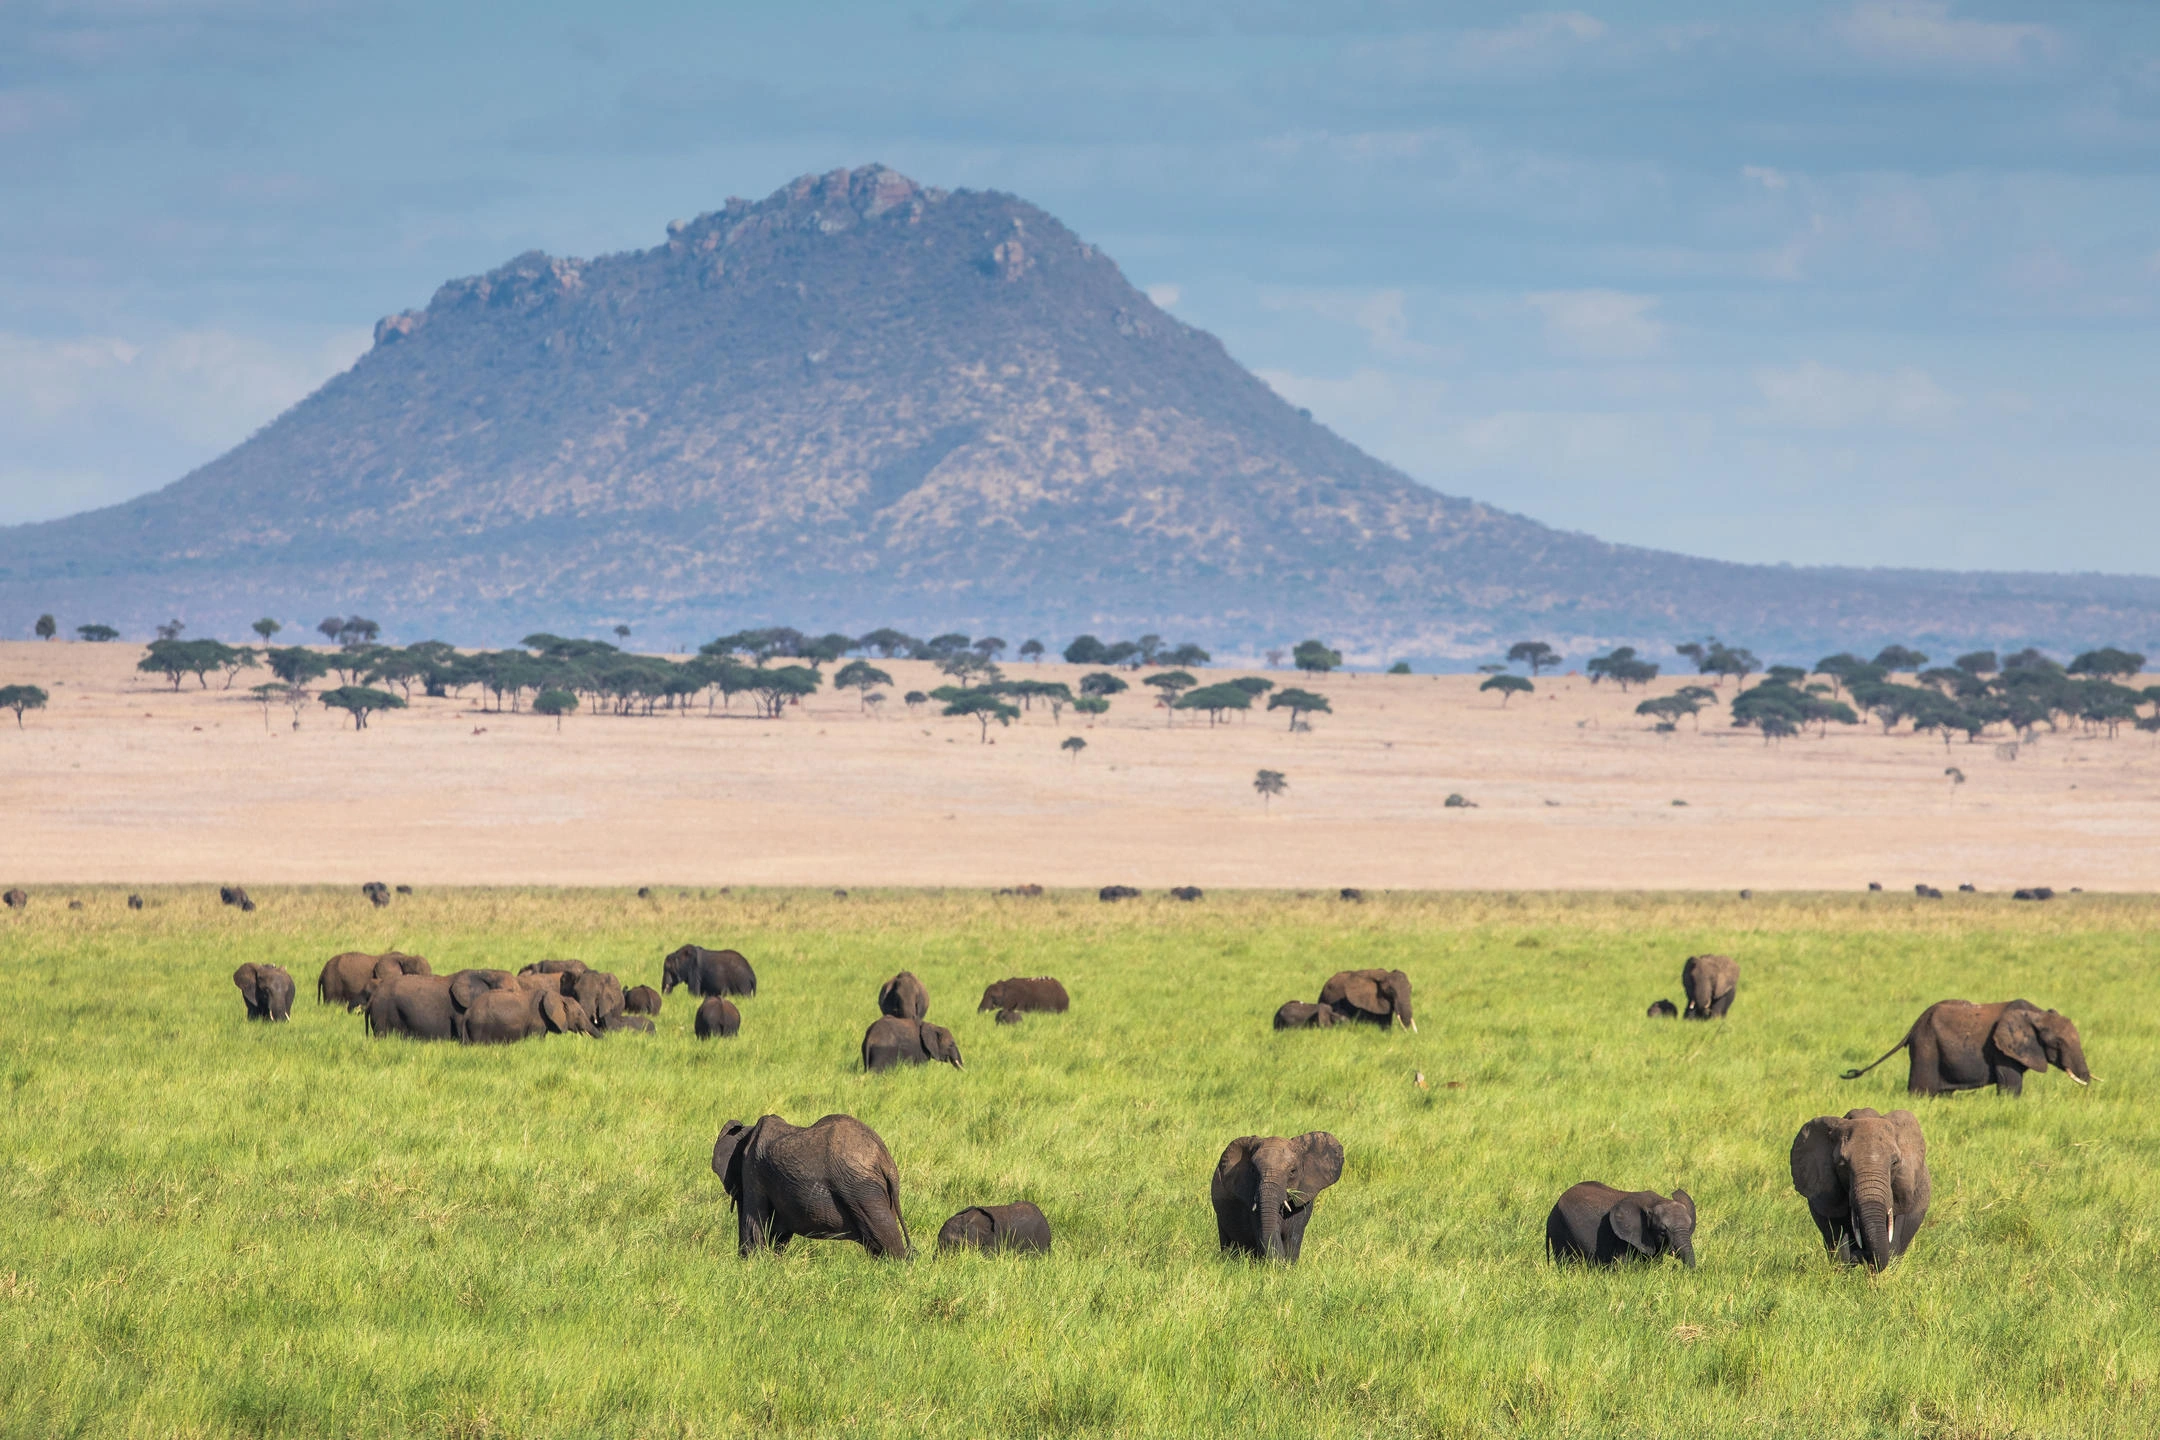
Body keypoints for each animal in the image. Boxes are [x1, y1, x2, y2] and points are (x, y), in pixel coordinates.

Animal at [1840, 999, 2090, 1097]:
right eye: (2057, 1043)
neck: (2036, 1014)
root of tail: (1913, 1027)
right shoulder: (2001, 1050)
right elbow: (2010, 1085)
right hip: (1926, 1046)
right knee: (1921, 1091)